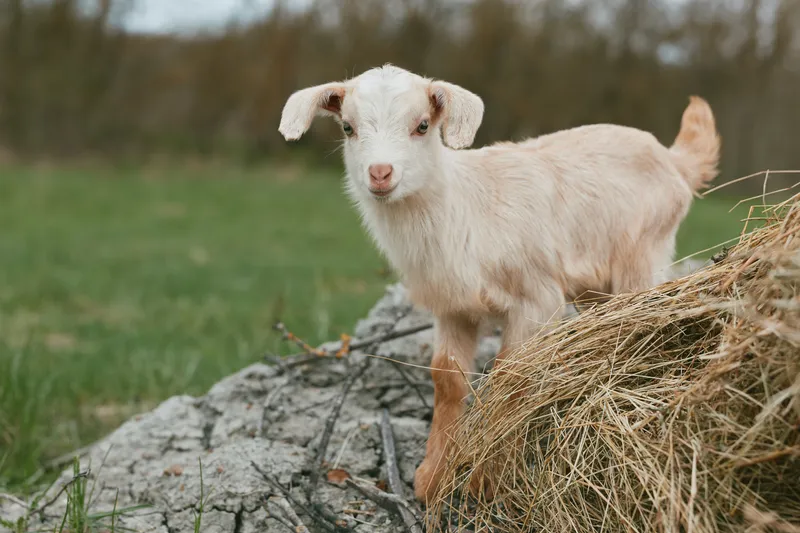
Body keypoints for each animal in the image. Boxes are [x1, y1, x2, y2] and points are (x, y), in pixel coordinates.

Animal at [278, 64, 721, 503]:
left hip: (642, 255)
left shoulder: (536, 298)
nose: (381, 173)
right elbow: (447, 379)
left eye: (422, 125)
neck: (461, 209)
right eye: (348, 127)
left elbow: (511, 377)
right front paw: (432, 478)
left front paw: (487, 480)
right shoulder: (452, 308)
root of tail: (673, 160)